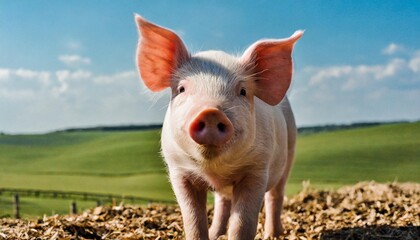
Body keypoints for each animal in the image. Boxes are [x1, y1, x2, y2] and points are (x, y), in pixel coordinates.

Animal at [136, 15, 304, 240]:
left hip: (290, 152)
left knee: (275, 196)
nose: (211, 112)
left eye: (242, 91)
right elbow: (193, 220)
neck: (215, 170)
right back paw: (216, 233)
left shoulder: (257, 169)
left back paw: (273, 234)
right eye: (181, 88)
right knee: (223, 201)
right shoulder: (178, 170)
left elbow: (242, 223)